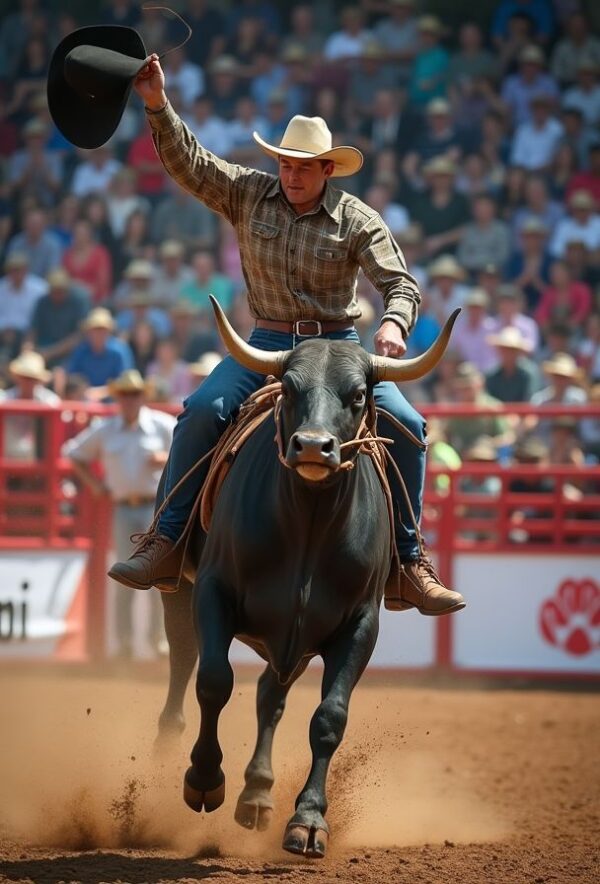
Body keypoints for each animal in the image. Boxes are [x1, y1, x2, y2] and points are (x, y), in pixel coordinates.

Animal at [155, 296, 460, 856]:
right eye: (292, 387)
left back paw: (257, 796)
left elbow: (329, 717)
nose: (314, 447)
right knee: (184, 665)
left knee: (269, 698)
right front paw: (203, 779)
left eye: (359, 394)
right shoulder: (212, 592)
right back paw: (167, 753)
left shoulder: (357, 626)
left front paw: (308, 820)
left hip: (292, 641)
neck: (308, 527)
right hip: (178, 591)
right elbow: (214, 681)